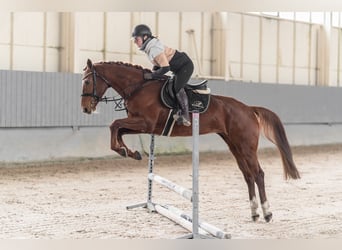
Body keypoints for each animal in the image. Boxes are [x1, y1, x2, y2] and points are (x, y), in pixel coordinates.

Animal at [80, 59, 300, 223]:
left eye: (87, 82)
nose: (85, 109)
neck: (138, 88)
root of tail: (248, 109)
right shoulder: (141, 125)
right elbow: (117, 129)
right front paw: (130, 152)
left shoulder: (145, 123)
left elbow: (115, 125)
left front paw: (126, 151)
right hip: (235, 146)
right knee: (248, 175)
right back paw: (254, 213)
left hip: (246, 146)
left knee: (258, 174)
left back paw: (267, 213)